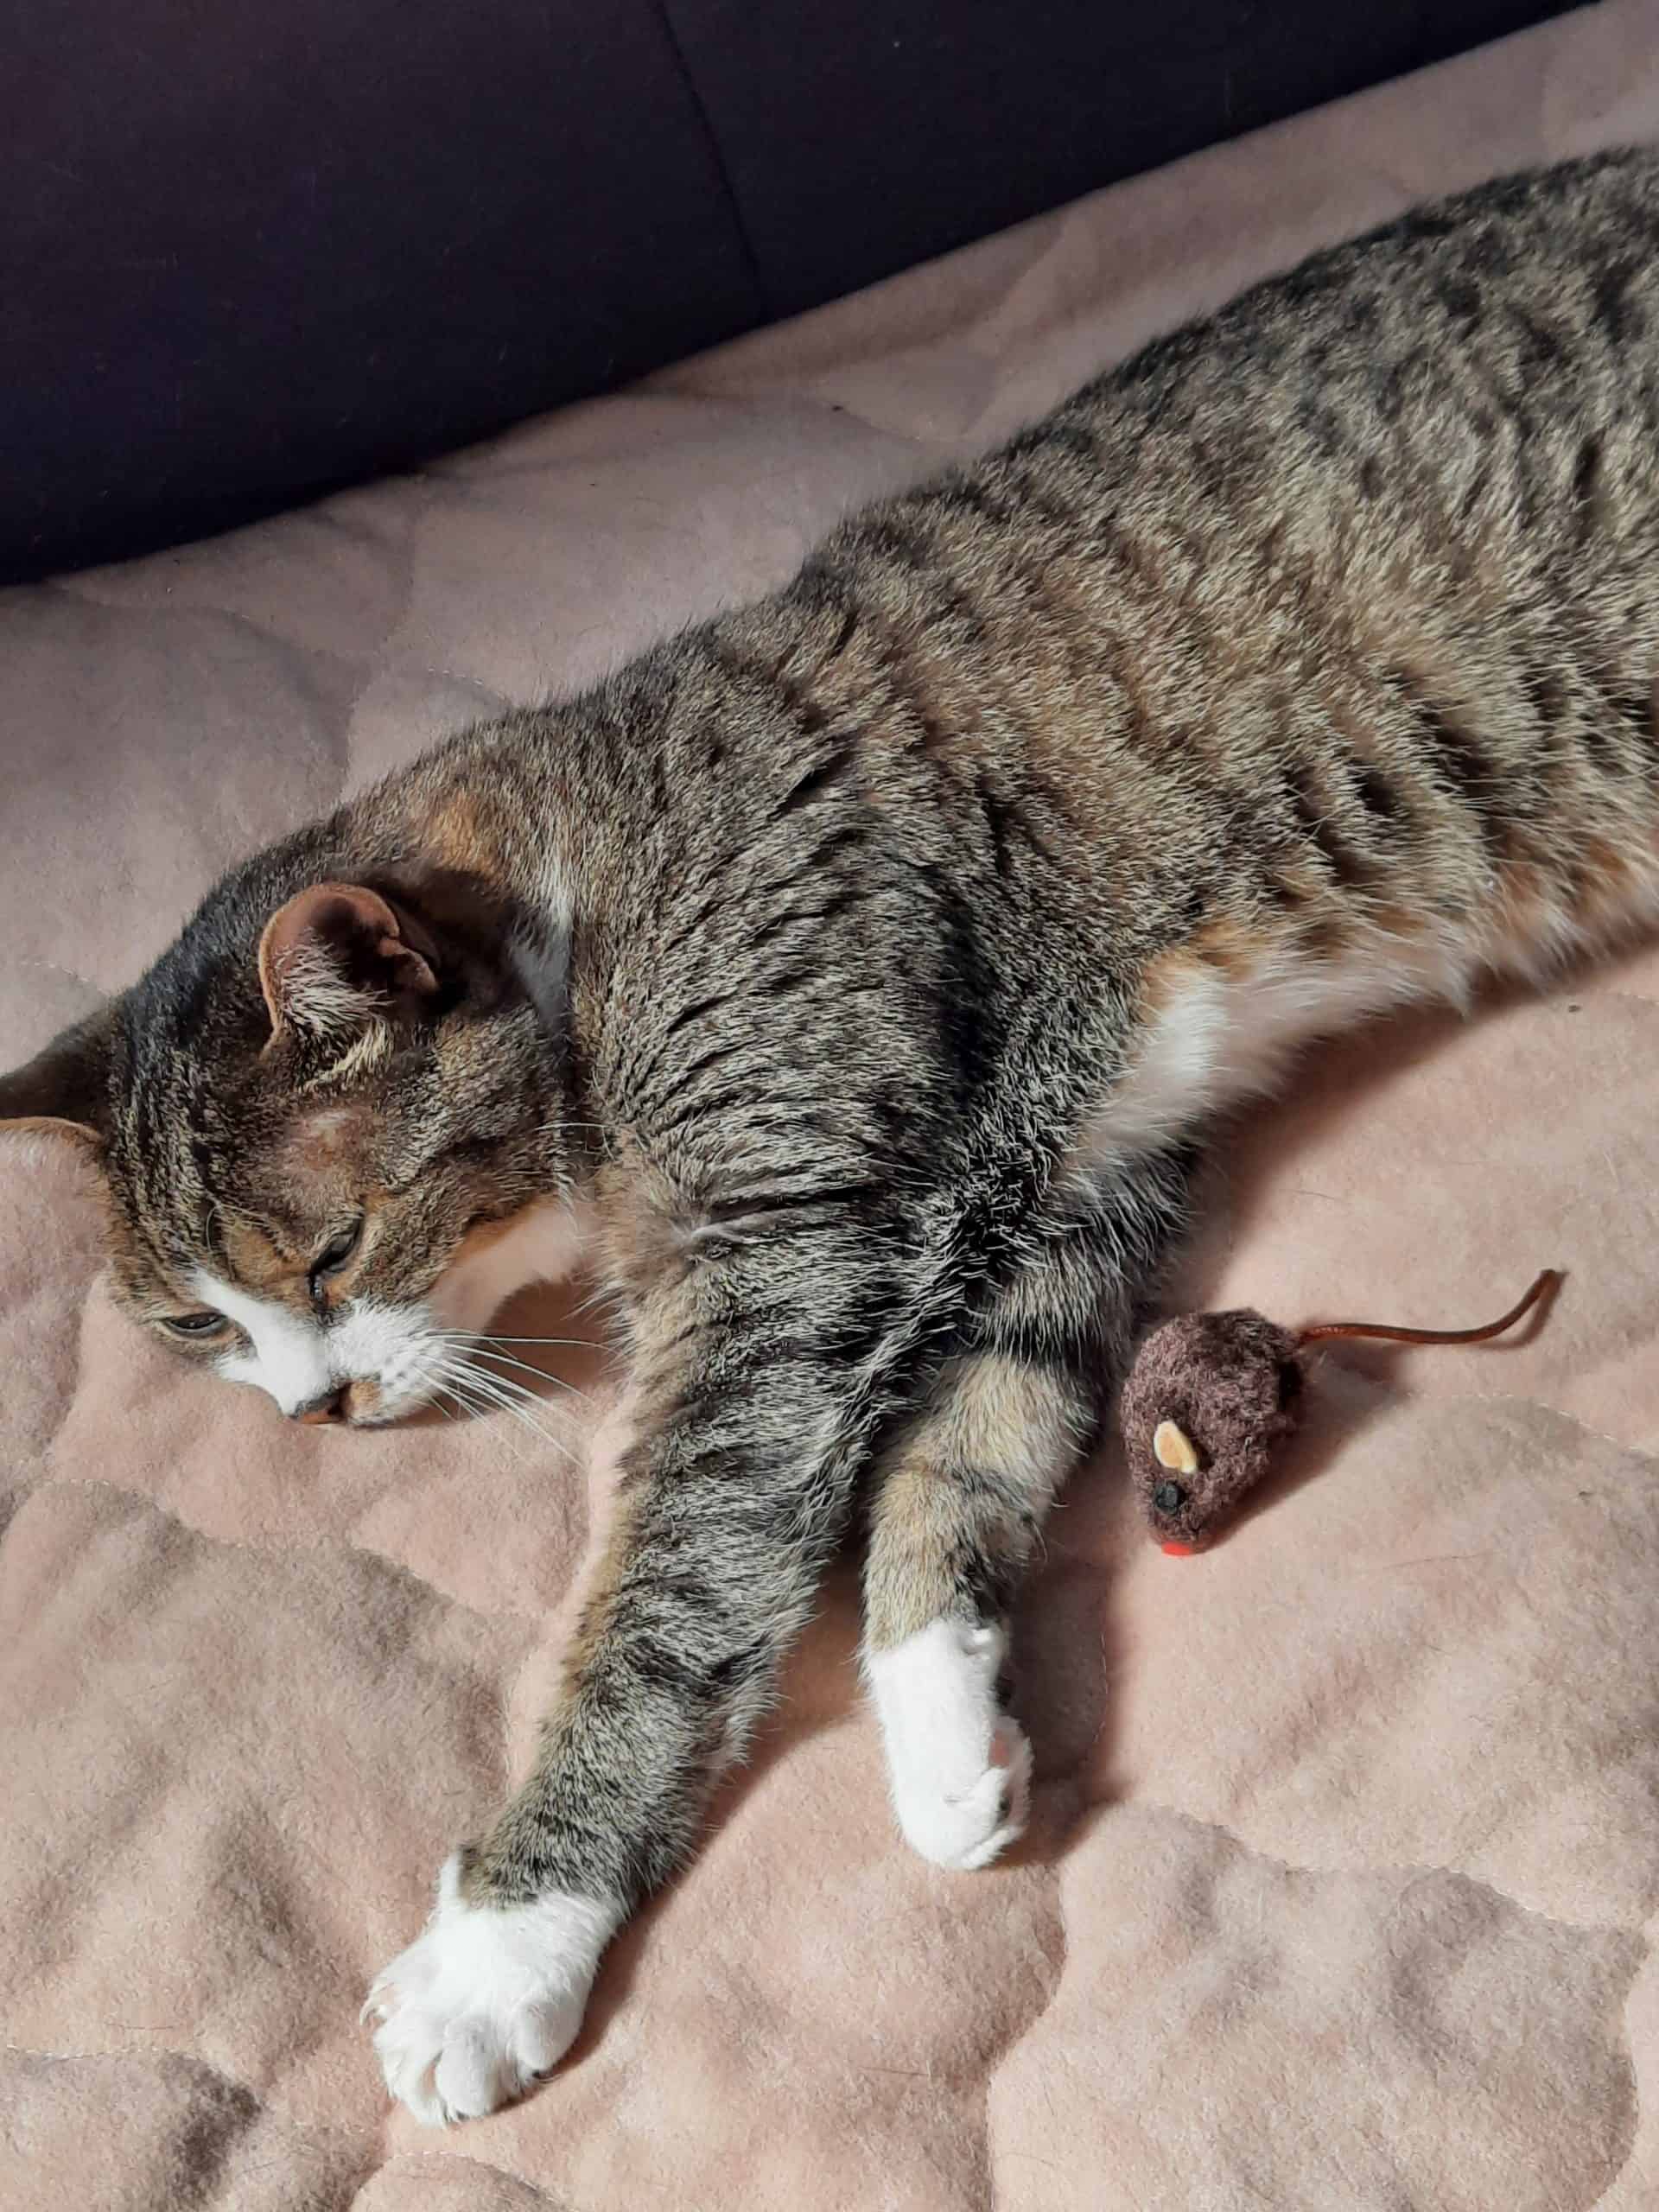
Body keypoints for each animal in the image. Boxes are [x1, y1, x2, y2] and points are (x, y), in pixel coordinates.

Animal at [3, 147, 1659, 2114]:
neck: (587, 898)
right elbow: (978, 1428)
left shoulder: (788, 1244)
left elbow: (669, 1591)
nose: (306, 1412)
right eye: (198, 1325)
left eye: (329, 1255)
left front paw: (503, 1944)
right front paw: (944, 1729)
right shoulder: (1073, 1165)